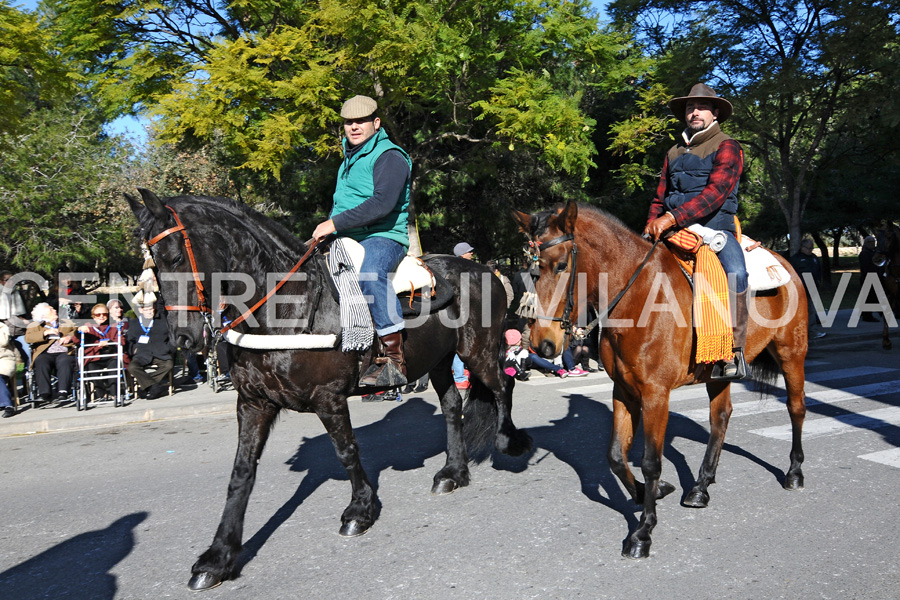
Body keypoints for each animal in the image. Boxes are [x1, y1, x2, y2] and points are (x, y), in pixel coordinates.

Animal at [127, 190, 536, 588]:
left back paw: (509, 440)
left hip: (477, 351)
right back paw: (452, 472)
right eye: (152, 265)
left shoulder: (328, 397)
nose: (183, 338)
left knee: (502, 386)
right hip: (439, 361)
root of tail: (482, 268)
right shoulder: (253, 403)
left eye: (175, 256)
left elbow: (347, 451)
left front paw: (360, 510)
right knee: (453, 406)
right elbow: (241, 473)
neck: (286, 308)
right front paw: (219, 556)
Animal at [512, 202, 808, 556]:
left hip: (792, 354)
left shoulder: (655, 394)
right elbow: (615, 456)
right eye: (529, 270)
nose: (542, 343)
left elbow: (651, 461)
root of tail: (785, 263)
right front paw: (645, 493)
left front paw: (643, 531)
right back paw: (700, 486)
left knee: (796, 408)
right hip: (718, 374)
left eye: (560, 265)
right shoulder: (623, 390)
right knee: (720, 418)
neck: (637, 297)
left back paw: (794, 472)